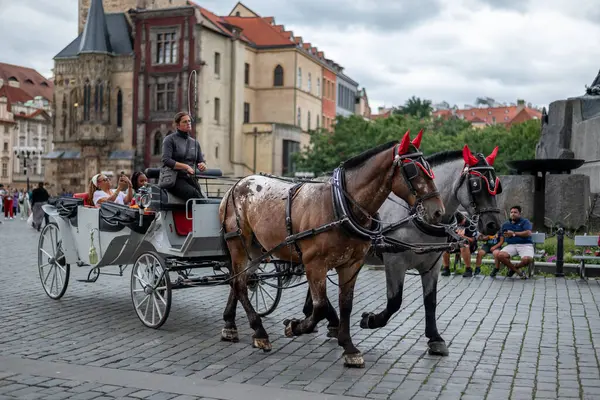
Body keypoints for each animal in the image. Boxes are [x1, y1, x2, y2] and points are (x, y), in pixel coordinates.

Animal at [218, 130, 442, 366]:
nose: (438, 211)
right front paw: (295, 326)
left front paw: (348, 346)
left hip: (256, 250)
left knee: (240, 280)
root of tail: (237, 185)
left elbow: (346, 304)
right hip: (238, 244)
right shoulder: (315, 264)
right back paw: (259, 331)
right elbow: (320, 306)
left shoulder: (352, 264)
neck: (340, 205)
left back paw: (230, 325)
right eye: (413, 169)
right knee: (240, 283)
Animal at [302, 144, 504, 356]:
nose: (493, 225)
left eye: (496, 185)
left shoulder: (432, 265)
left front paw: (435, 338)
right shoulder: (395, 262)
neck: (416, 215)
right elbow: (394, 301)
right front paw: (371, 320)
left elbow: (430, 301)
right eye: (476, 184)